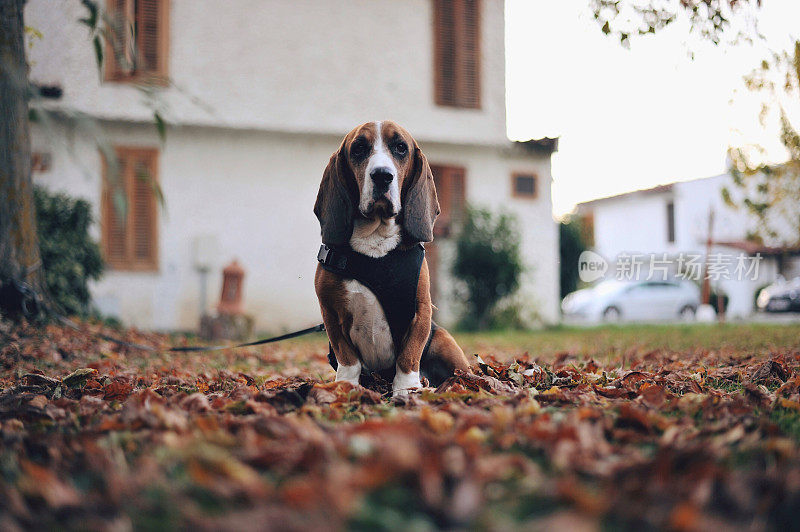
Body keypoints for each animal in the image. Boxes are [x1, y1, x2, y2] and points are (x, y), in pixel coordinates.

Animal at [312, 120, 472, 394]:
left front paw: (406, 390)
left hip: (444, 342)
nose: (382, 175)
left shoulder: (420, 312)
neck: (375, 244)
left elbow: (409, 356)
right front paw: (346, 386)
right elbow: (348, 359)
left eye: (400, 148)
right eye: (359, 148)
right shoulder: (331, 313)